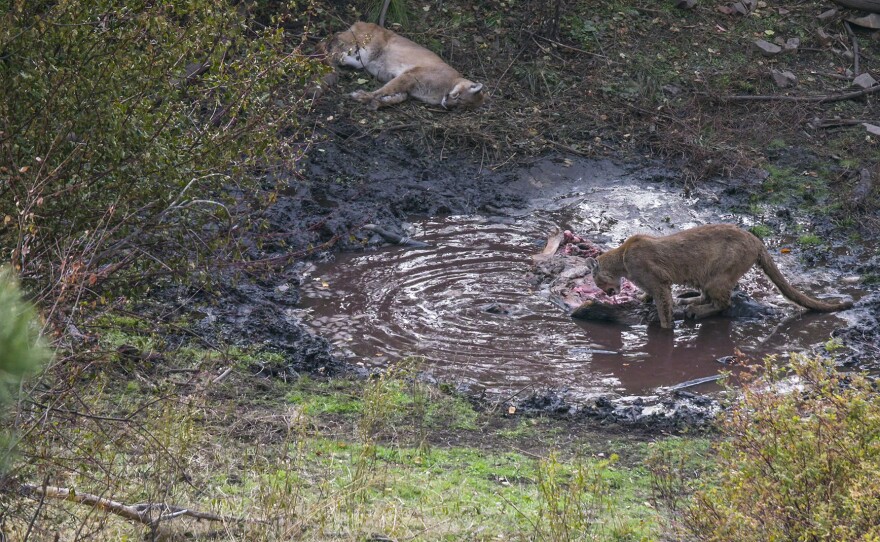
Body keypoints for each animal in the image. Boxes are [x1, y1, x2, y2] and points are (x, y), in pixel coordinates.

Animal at [323, 22, 486, 110]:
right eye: (459, 99)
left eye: (458, 108)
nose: (447, 106)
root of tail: (364, 22)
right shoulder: (410, 76)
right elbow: (384, 90)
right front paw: (363, 96)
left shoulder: (409, 88)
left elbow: (397, 96)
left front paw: (379, 103)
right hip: (363, 50)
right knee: (331, 45)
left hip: (359, 59)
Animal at [585, 224, 854, 329]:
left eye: (597, 282)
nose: (606, 292)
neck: (622, 257)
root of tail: (756, 239)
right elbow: (652, 296)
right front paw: (643, 299)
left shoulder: (659, 281)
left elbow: (663, 308)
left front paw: (664, 331)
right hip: (707, 276)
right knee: (712, 298)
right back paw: (689, 300)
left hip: (718, 276)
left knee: (725, 303)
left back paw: (694, 310)